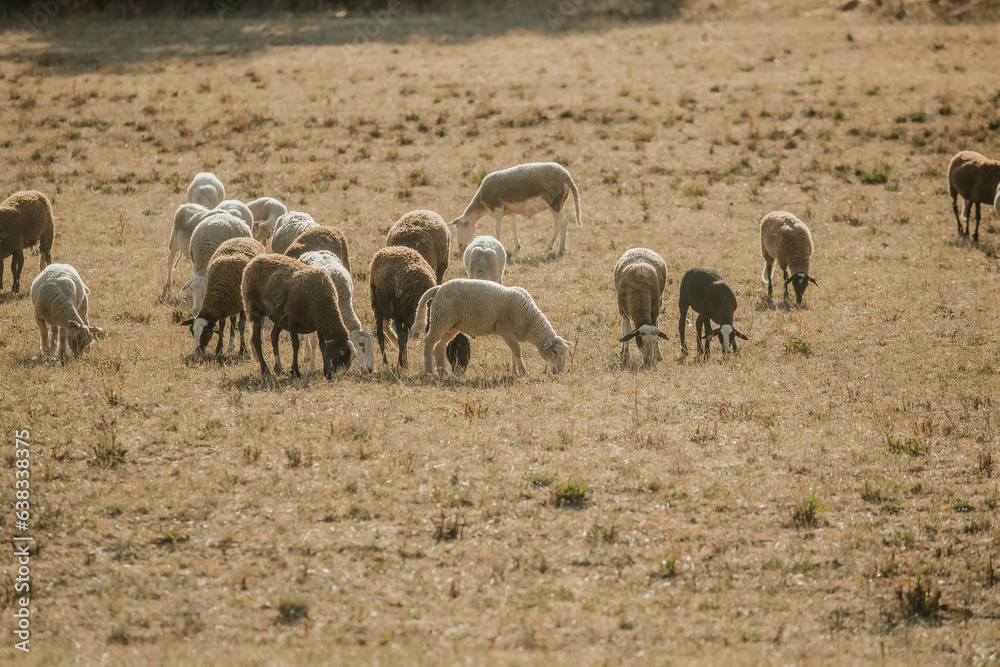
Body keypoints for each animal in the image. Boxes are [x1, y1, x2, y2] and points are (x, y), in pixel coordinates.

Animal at [415, 279, 573, 376]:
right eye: (554, 351)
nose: (559, 371)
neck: (529, 322)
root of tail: (439, 288)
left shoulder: (512, 334)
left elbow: (513, 352)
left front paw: (515, 372)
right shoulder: (505, 329)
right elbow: (517, 350)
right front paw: (523, 372)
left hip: (451, 325)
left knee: (440, 346)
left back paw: (442, 372)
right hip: (441, 319)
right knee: (429, 342)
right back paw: (429, 371)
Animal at [449, 162, 582, 255]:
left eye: (457, 226)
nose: (460, 246)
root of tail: (566, 176)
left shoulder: (498, 207)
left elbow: (498, 228)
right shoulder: (511, 211)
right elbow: (514, 228)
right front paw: (518, 247)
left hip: (554, 204)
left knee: (563, 223)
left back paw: (561, 249)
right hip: (558, 204)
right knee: (557, 224)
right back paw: (548, 247)